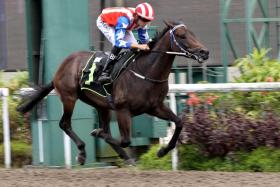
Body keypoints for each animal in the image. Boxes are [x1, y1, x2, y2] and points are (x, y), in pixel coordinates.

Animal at [17, 20, 208, 165]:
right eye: (182, 35)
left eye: (193, 33)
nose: (204, 52)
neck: (146, 71)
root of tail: (61, 67)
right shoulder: (123, 109)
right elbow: (125, 140)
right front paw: (97, 134)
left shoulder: (155, 107)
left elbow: (179, 122)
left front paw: (162, 151)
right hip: (69, 97)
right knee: (65, 124)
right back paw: (82, 152)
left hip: (101, 106)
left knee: (102, 127)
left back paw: (122, 155)